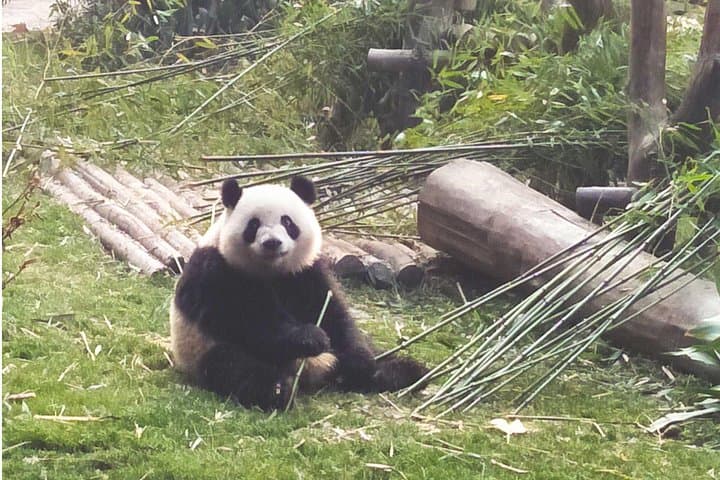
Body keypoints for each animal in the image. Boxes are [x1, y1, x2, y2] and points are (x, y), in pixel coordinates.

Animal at [170, 176, 428, 410]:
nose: (272, 243)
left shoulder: (305, 271)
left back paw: (402, 371)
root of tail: (315, 373)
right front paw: (311, 338)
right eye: (253, 225)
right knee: (233, 366)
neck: (272, 270)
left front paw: (359, 360)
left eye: (287, 222)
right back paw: (278, 390)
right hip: (201, 350)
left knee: (377, 355)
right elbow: (249, 321)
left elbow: (333, 313)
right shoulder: (216, 272)